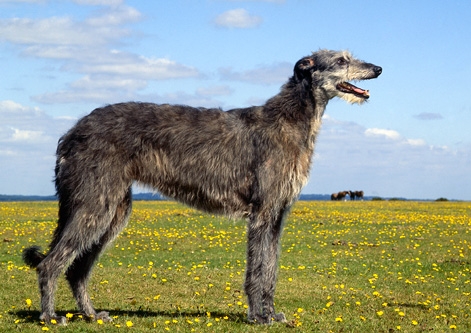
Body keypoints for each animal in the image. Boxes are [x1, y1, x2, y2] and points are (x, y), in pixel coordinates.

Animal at [24, 50, 382, 324]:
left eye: (350, 56)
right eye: (341, 60)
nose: (378, 69)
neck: (291, 119)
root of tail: (71, 133)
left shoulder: (278, 215)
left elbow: (271, 269)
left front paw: (272, 314)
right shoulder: (262, 212)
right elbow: (257, 269)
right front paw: (258, 316)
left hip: (113, 210)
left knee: (77, 270)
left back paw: (91, 315)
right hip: (94, 204)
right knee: (50, 264)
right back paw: (50, 317)